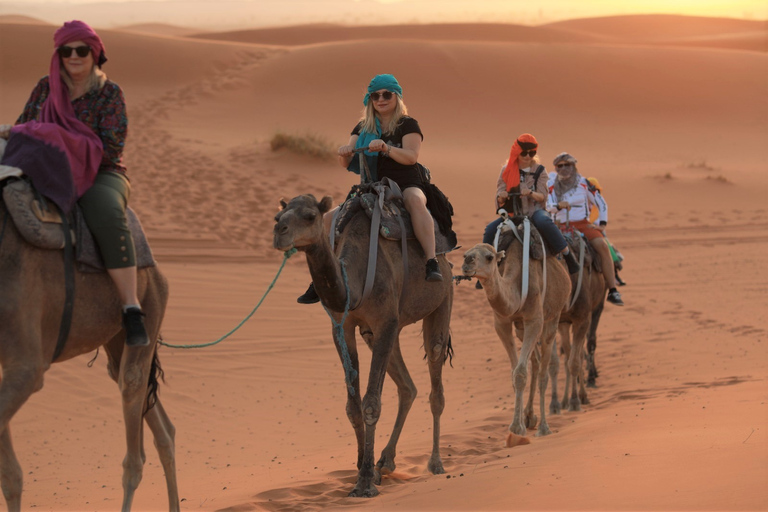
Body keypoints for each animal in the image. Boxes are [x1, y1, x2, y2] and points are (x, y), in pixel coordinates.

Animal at [0, 194, 178, 510]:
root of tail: (155, 268)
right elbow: (10, 476)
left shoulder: (26, 366)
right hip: (117, 338)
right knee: (162, 429)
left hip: (151, 302)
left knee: (134, 445)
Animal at [272, 194, 452, 498]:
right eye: (277, 216)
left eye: (310, 216)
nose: (279, 233)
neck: (354, 284)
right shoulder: (342, 327)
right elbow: (352, 406)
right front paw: (362, 468)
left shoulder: (385, 321)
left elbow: (371, 404)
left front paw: (365, 481)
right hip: (384, 331)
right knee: (407, 387)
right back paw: (386, 461)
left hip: (443, 299)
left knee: (436, 373)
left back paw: (435, 463)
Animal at [462, 234, 568, 438]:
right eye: (465, 253)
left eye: (489, 257)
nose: (466, 262)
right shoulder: (501, 323)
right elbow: (514, 372)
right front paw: (519, 423)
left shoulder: (534, 320)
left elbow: (520, 373)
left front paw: (516, 428)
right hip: (520, 329)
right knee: (535, 362)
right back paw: (529, 416)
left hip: (553, 317)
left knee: (544, 371)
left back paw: (543, 427)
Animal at [548, 236, 608, 412]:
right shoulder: (556, 322)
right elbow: (554, 363)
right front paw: (555, 403)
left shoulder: (583, 319)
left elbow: (575, 361)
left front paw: (575, 400)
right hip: (564, 323)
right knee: (568, 353)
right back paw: (565, 400)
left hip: (596, 307)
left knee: (584, 347)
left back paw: (584, 392)